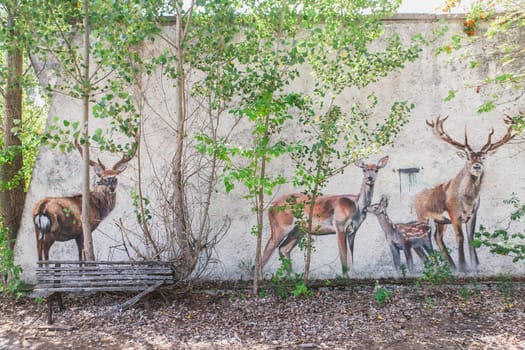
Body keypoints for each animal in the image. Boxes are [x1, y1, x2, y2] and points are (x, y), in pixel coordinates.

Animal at [414, 116, 516, 272]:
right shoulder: (454, 214)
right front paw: (463, 266)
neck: (467, 201)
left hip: (440, 221)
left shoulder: (472, 214)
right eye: (468, 157)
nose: (477, 166)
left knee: (438, 238)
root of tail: (413, 198)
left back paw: (450, 266)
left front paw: (475, 265)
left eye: (483, 157)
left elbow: (471, 237)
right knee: (421, 238)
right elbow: (460, 237)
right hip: (422, 216)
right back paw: (434, 265)